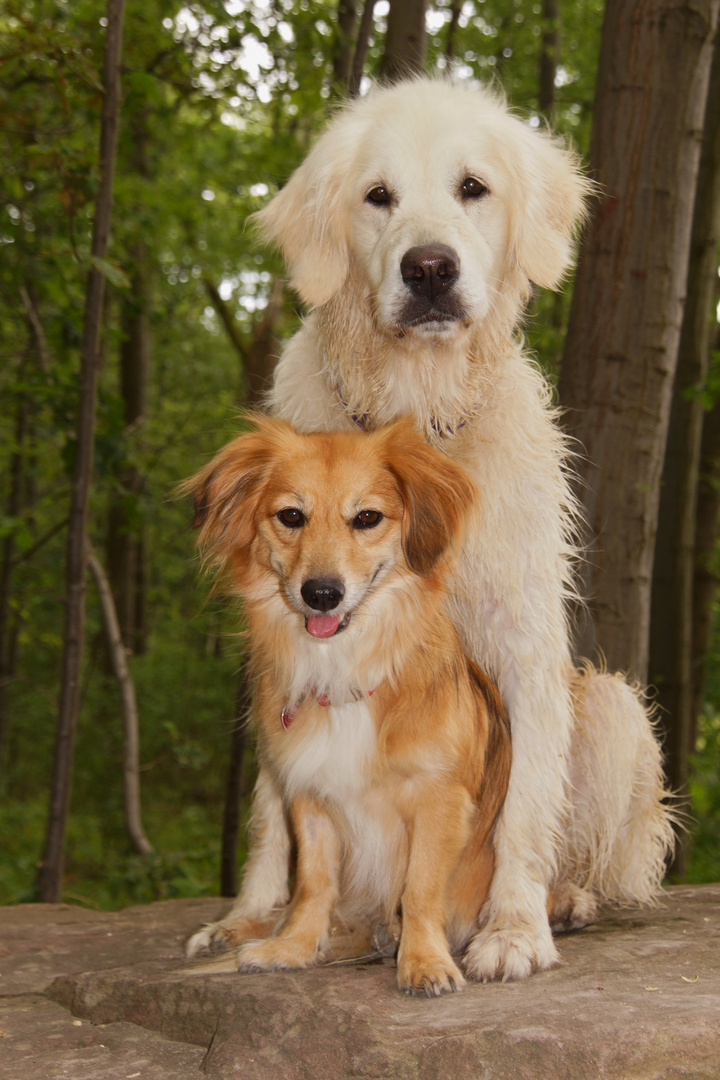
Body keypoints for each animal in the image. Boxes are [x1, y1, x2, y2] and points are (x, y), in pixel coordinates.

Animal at [185, 419, 511, 993]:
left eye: (367, 518)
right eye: (292, 516)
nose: (321, 593)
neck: (344, 673)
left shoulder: (439, 799)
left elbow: (421, 889)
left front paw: (423, 960)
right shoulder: (309, 796)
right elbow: (314, 883)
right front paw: (294, 946)